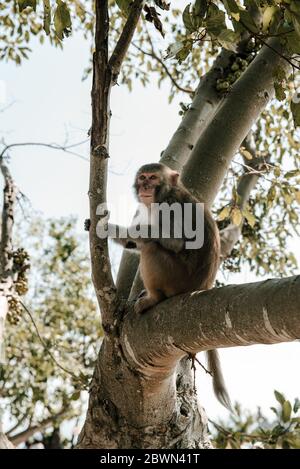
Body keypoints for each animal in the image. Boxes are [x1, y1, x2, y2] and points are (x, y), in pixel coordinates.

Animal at [107, 162, 232, 410]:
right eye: (143, 177)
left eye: (153, 178)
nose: (145, 186)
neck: (164, 194)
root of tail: (202, 286)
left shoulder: (170, 207)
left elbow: (176, 241)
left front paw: (116, 228)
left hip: (176, 278)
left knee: (152, 247)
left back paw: (154, 298)